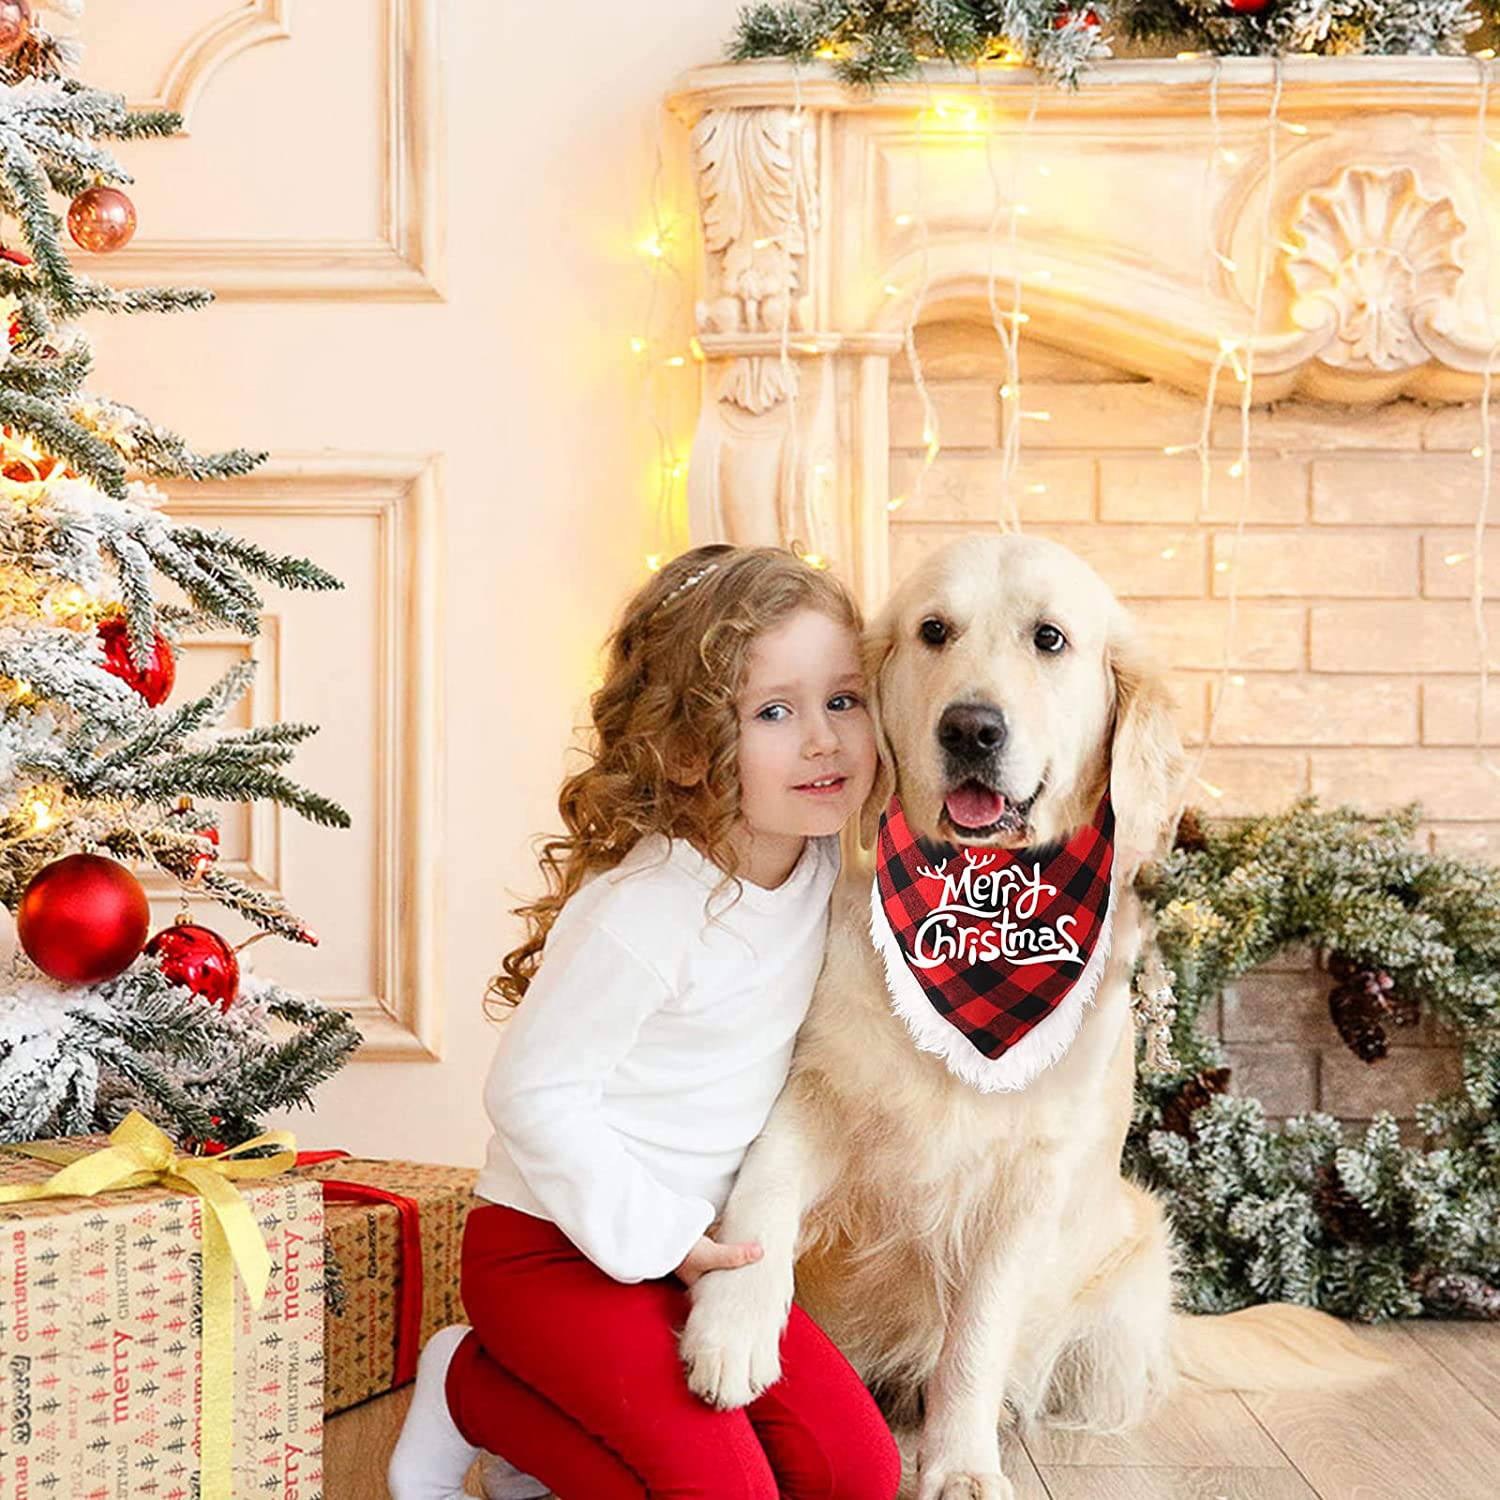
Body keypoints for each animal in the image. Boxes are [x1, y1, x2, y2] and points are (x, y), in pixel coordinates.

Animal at [678, 534, 1380, 1494]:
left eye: (1050, 638)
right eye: (934, 630)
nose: (972, 728)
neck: (984, 915)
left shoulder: (1029, 1183)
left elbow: (976, 1338)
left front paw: (960, 1467)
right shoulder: (815, 1092)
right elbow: (763, 1197)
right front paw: (733, 1329)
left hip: (1126, 1272)